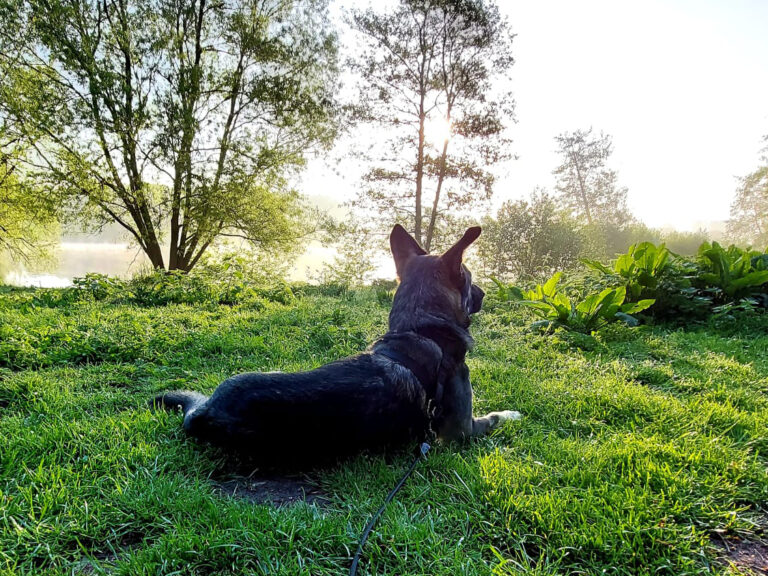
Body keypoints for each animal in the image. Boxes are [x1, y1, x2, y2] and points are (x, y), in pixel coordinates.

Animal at [153, 223, 520, 466]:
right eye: (471, 279)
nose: (484, 294)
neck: (421, 328)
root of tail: (205, 412)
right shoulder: (462, 432)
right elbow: (494, 417)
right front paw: (512, 413)